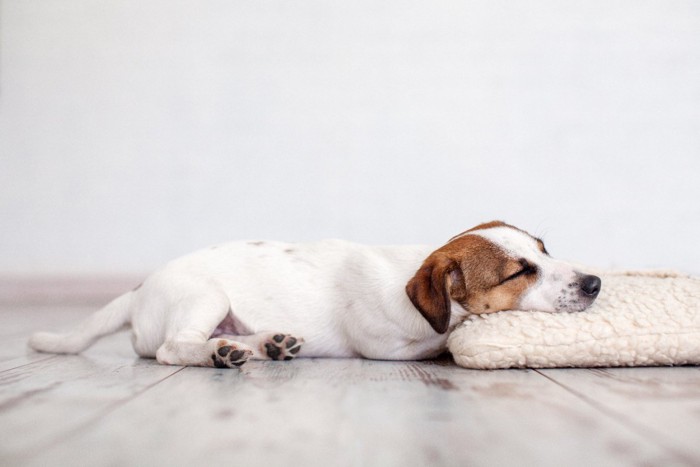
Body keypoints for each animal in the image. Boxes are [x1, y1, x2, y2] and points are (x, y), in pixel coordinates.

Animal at [30, 221, 600, 368]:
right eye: (519, 272)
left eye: (545, 249)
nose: (596, 283)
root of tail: (138, 291)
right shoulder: (386, 346)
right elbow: (445, 335)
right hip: (205, 297)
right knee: (174, 348)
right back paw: (220, 354)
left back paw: (262, 345)